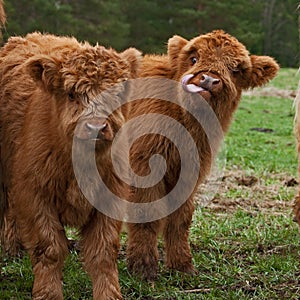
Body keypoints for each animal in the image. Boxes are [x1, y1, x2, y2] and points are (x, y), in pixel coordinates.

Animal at [0, 31, 141, 298]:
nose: (96, 126)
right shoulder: (34, 194)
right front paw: (48, 294)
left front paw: (109, 294)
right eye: (72, 93)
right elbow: (49, 248)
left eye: (116, 95)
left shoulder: (111, 198)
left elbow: (103, 252)